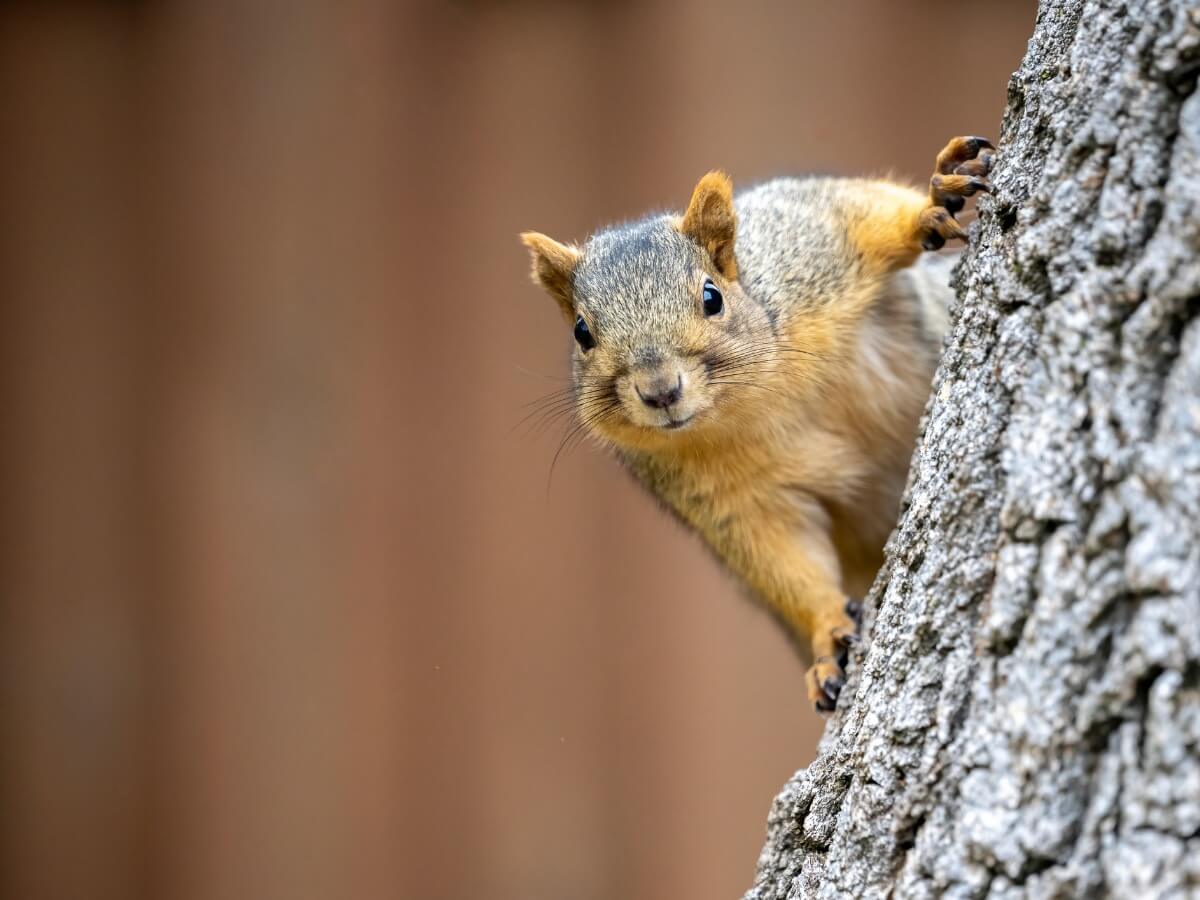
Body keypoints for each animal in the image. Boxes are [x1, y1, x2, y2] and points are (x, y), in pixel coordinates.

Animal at [521, 136, 994, 712]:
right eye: (582, 333)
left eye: (711, 296)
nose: (660, 391)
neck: (752, 402)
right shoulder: (734, 503)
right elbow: (787, 562)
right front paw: (829, 637)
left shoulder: (810, 243)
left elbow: (868, 215)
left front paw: (935, 197)